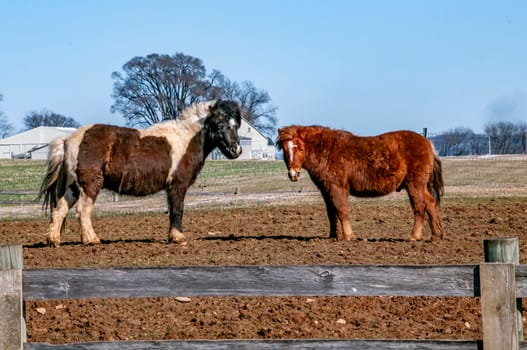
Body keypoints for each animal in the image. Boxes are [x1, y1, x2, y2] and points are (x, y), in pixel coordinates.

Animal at [39, 99, 243, 246]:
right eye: (219, 124)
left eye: (235, 126)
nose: (236, 150)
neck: (186, 140)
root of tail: (67, 139)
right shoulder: (177, 185)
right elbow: (177, 209)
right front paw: (178, 237)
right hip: (89, 185)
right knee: (82, 210)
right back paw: (92, 240)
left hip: (74, 186)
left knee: (60, 209)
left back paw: (54, 241)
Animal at [276, 124, 446, 242]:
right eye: (284, 149)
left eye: (300, 148)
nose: (293, 174)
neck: (328, 152)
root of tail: (427, 143)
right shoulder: (326, 190)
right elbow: (331, 213)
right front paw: (333, 236)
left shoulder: (338, 188)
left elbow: (342, 210)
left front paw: (349, 236)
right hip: (420, 186)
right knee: (431, 204)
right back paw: (436, 235)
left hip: (414, 185)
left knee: (420, 207)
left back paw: (414, 236)